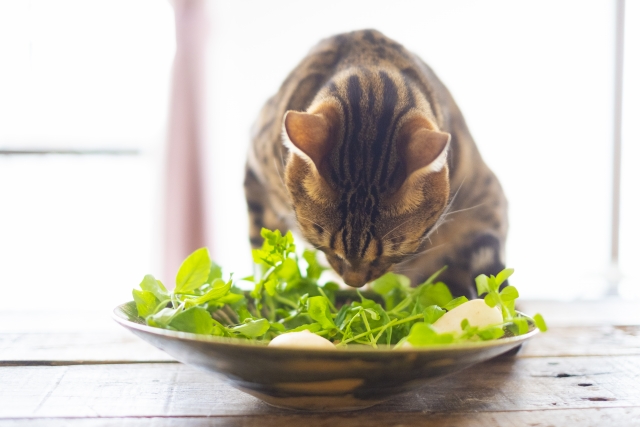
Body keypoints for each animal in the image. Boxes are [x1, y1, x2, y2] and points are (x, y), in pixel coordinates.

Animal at [242, 29, 508, 300]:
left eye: (390, 253)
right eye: (323, 244)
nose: (353, 282)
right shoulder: (255, 176)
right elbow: (260, 252)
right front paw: (264, 289)